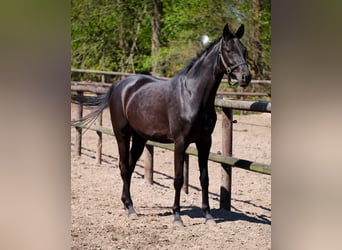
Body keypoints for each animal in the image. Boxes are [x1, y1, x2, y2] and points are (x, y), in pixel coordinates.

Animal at [72, 23, 251, 227]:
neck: (192, 95)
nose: (246, 77)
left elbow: (204, 178)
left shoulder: (205, 142)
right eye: (228, 50)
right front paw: (177, 216)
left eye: (244, 50)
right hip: (122, 135)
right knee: (124, 167)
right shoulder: (180, 142)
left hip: (140, 139)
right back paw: (131, 208)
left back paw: (127, 205)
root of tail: (118, 86)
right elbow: (178, 179)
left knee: (130, 167)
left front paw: (208, 216)